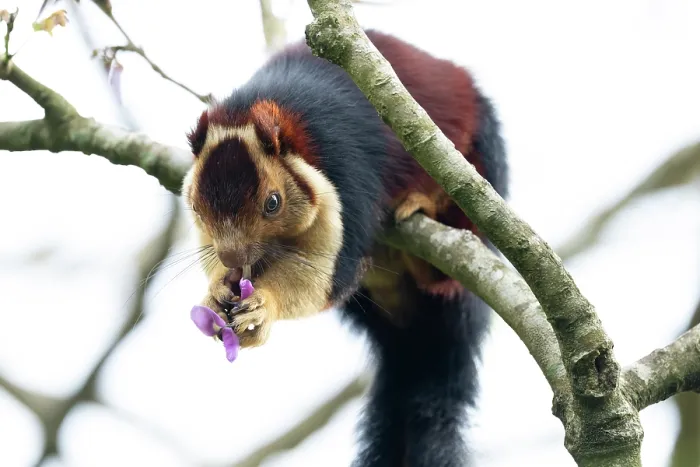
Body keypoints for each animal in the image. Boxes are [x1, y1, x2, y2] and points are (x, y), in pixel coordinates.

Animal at [182, 29, 508, 467]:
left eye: (273, 203)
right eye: (196, 206)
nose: (233, 259)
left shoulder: (347, 173)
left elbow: (331, 273)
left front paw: (262, 309)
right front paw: (217, 290)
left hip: (481, 161)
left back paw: (426, 207)